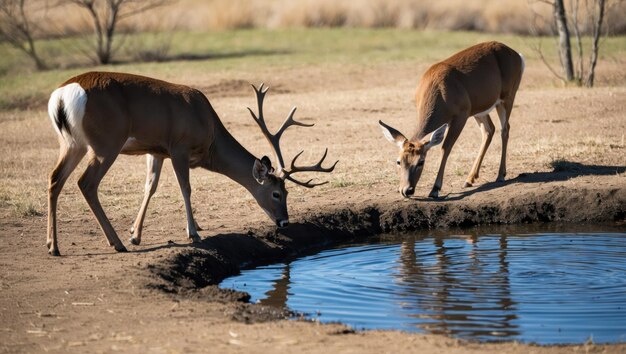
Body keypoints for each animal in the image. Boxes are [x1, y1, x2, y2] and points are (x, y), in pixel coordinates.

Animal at [45, 71, 334, 254]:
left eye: (287, 192)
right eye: (276, 193)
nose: (285, 222)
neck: (210, 131)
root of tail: (63, 95)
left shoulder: (156, 151)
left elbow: (150, 187)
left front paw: (136, 234)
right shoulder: (179, 147)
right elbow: (185, 188)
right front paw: (193, 233)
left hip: (72, 143)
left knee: (55, 179)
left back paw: (53, 246)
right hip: (106, 142)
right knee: (86, 183)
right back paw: (115, 243)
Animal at [378, 41, 524, 199]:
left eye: (421, 161)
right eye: (398, 161)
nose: (407, 190)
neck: (440, 93)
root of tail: (518, 56)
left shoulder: (461, 114)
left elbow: (445, 148)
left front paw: (435, 189)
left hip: (508, 96)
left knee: (505, 129)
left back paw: (500, 175)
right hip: (479, 109)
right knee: (489, 130)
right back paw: (469, 179)